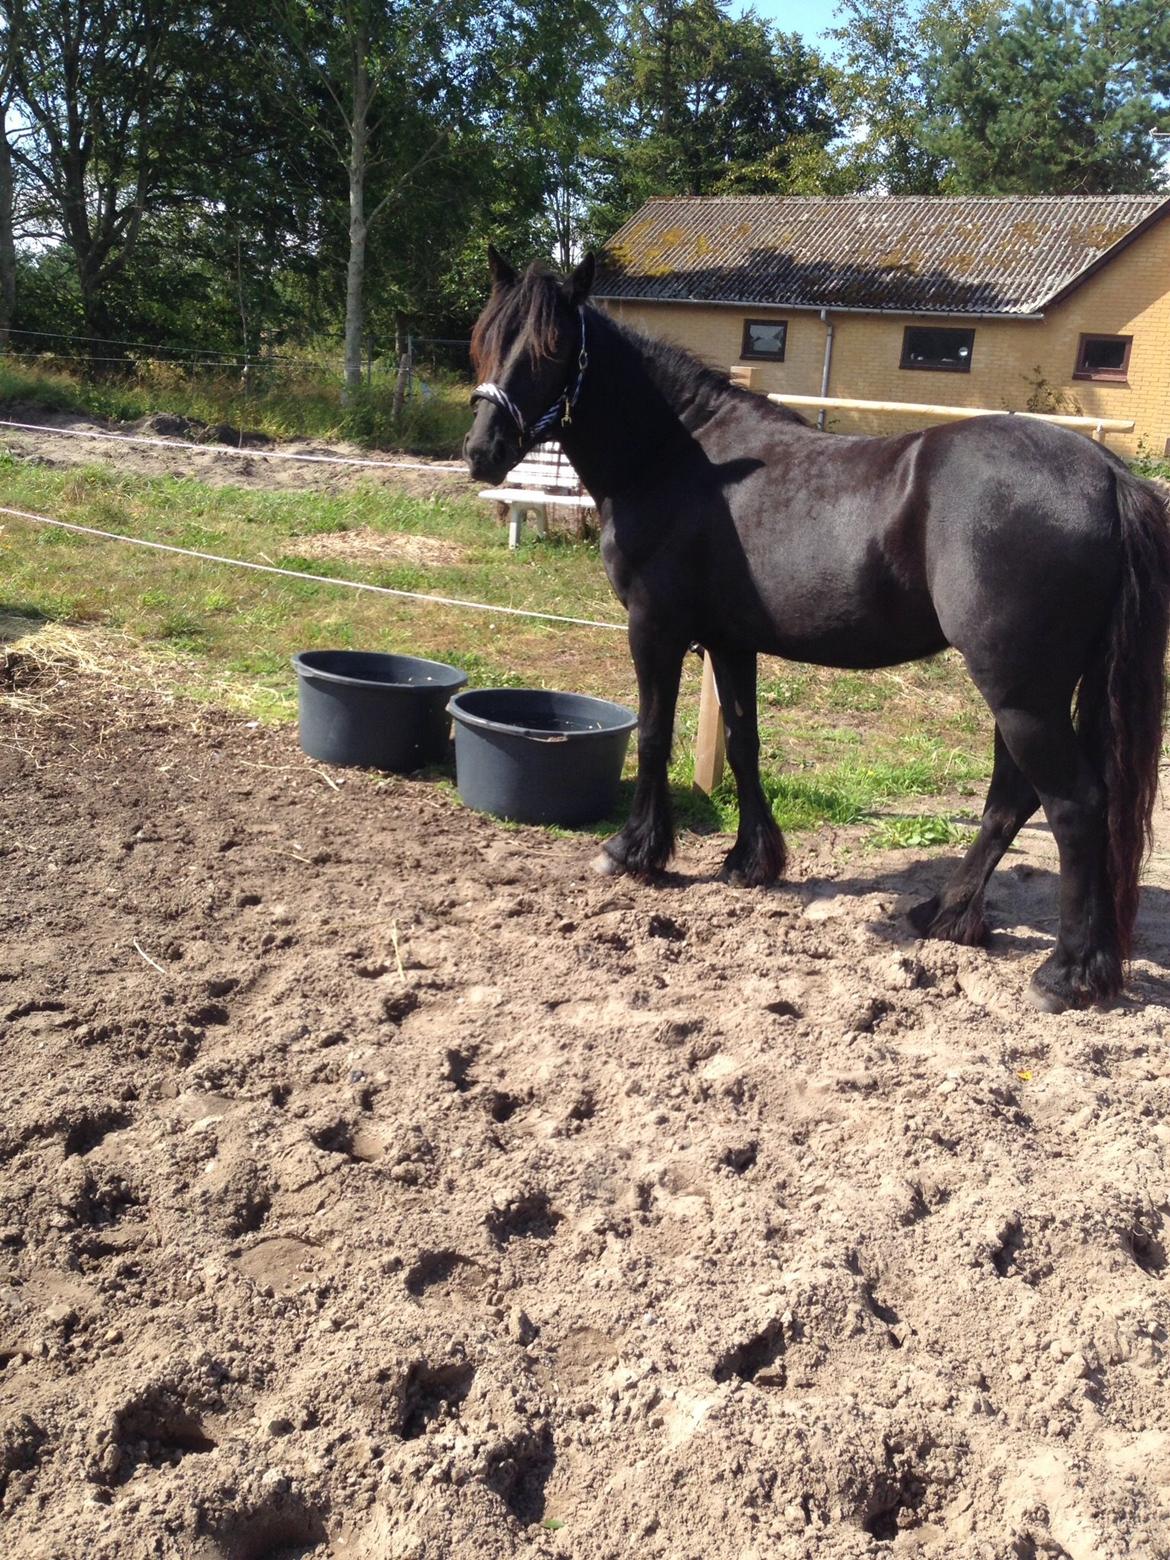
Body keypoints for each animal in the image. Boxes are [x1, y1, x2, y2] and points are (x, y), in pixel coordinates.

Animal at [464, 247, 1170, 1013]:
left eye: (552, 348)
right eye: (486, 338)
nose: (480, 450)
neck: (683, 457)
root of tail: (1107, 476)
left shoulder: (655, 627)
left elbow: (652, 735)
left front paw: (633, 852)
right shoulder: (730, 641)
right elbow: (743, 744)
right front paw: (750, 861)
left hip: (1020, 694)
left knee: (1074, 807)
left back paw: (1062, 973)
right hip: (1031, 692)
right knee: (1014, 801)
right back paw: (951, 918)